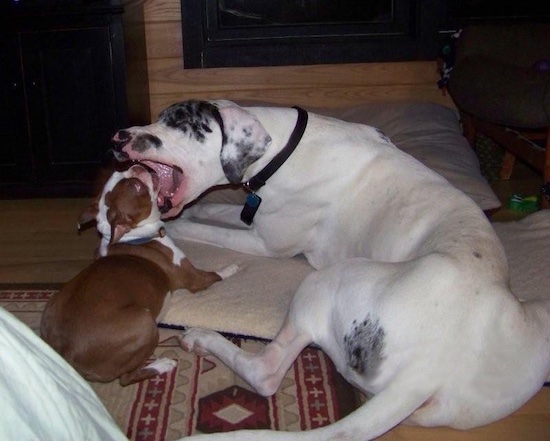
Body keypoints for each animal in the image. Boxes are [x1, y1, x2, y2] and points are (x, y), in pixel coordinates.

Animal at [38, 165, 237, 384]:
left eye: (118, 173)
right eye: (136, 187)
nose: (137, 166)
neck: (134, 237)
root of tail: (66, 357)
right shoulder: (193, 277)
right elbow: (214, 274)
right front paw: (231, 268)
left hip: (53, 303)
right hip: (145, 323)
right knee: (125, 378)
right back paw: (162, 365)